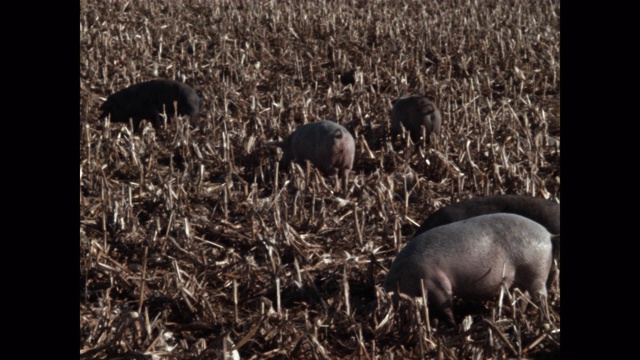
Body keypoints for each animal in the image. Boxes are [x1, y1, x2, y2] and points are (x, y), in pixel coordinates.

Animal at [382, 212, 556, 324]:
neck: (403, 274)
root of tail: (548, 234)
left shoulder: (435, 282)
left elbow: (445, 303)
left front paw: (453, 324)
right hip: (523, 279)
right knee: (524, 297)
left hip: (537, 272)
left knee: (540, 295)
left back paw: (543, 318)